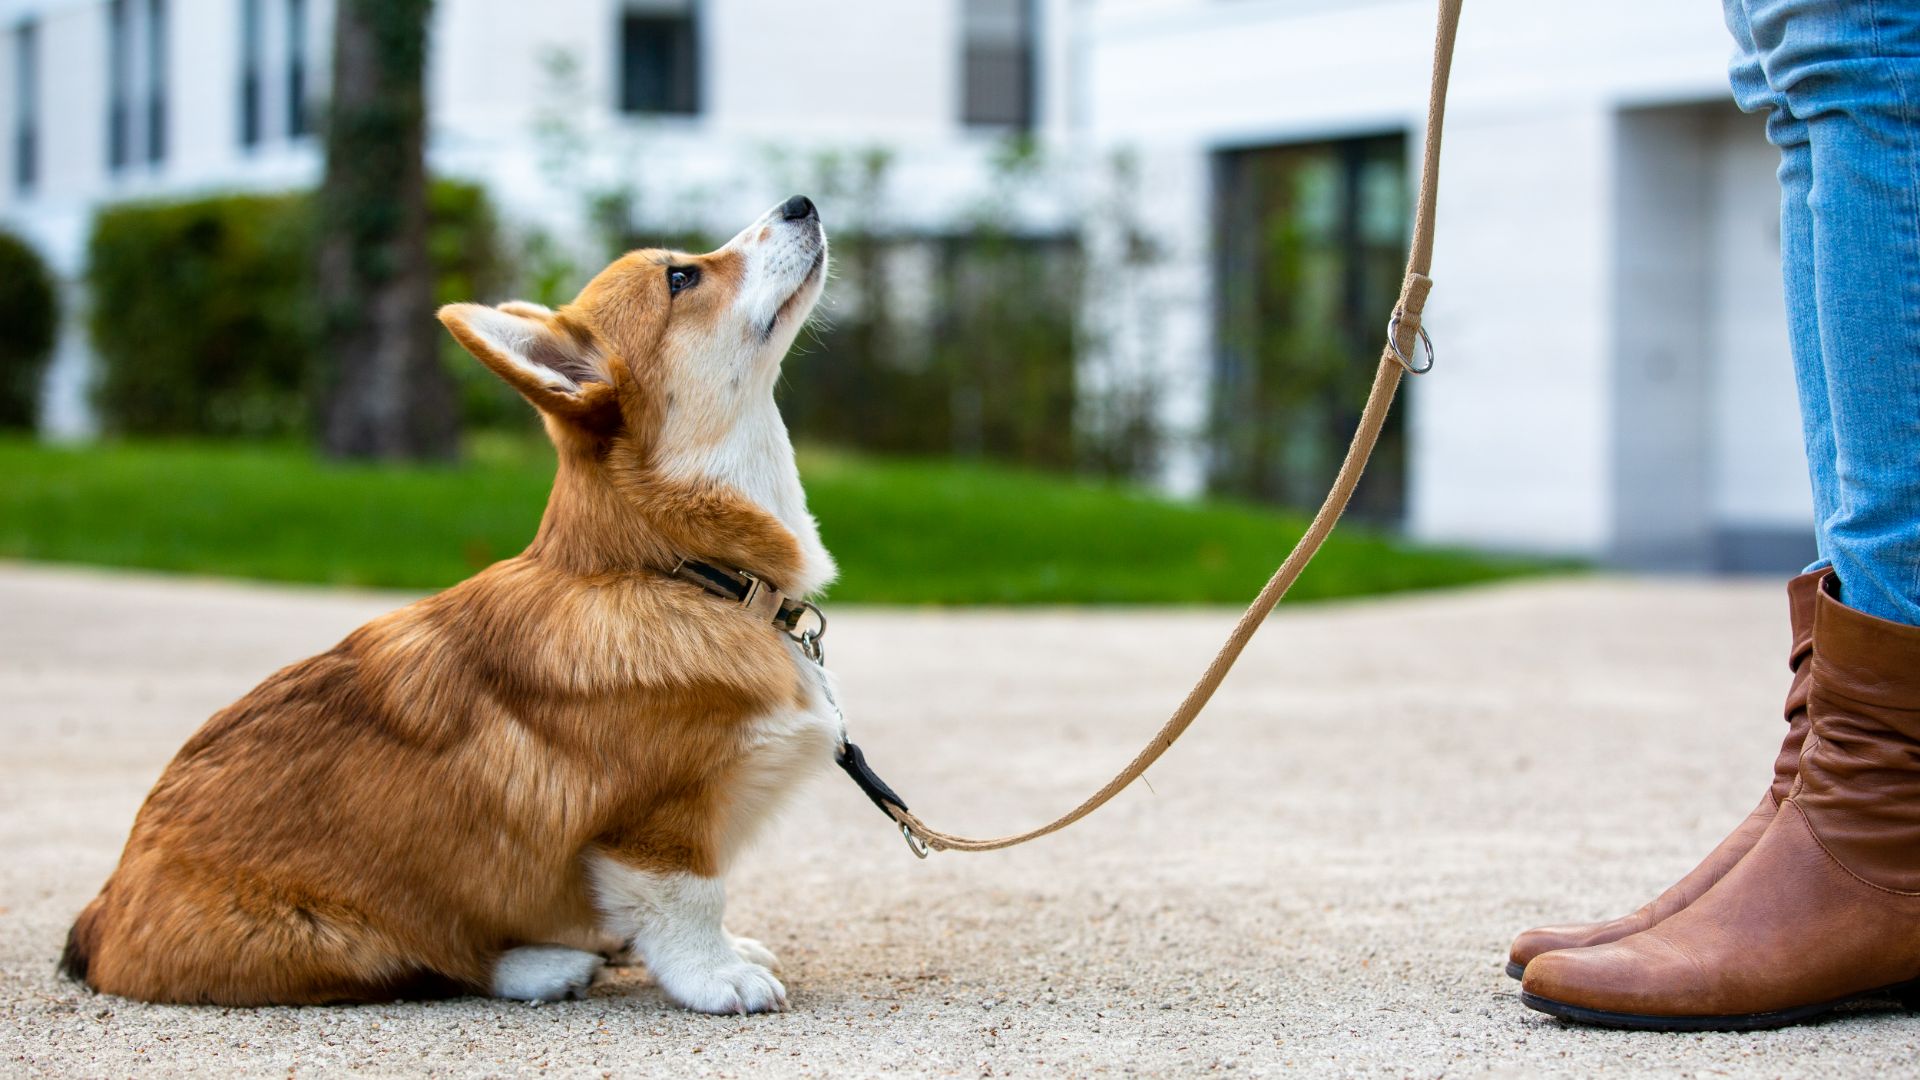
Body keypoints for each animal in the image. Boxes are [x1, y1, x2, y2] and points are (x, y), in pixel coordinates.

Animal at [60, 197, 837, 1014]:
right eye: (681, 277)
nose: (801, 203)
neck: (675, 568)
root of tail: (101, 914)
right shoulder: (656, 823)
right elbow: (690, 900)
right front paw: (717, 974)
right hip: (338, 938)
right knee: (435, 961)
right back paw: (545, 964)